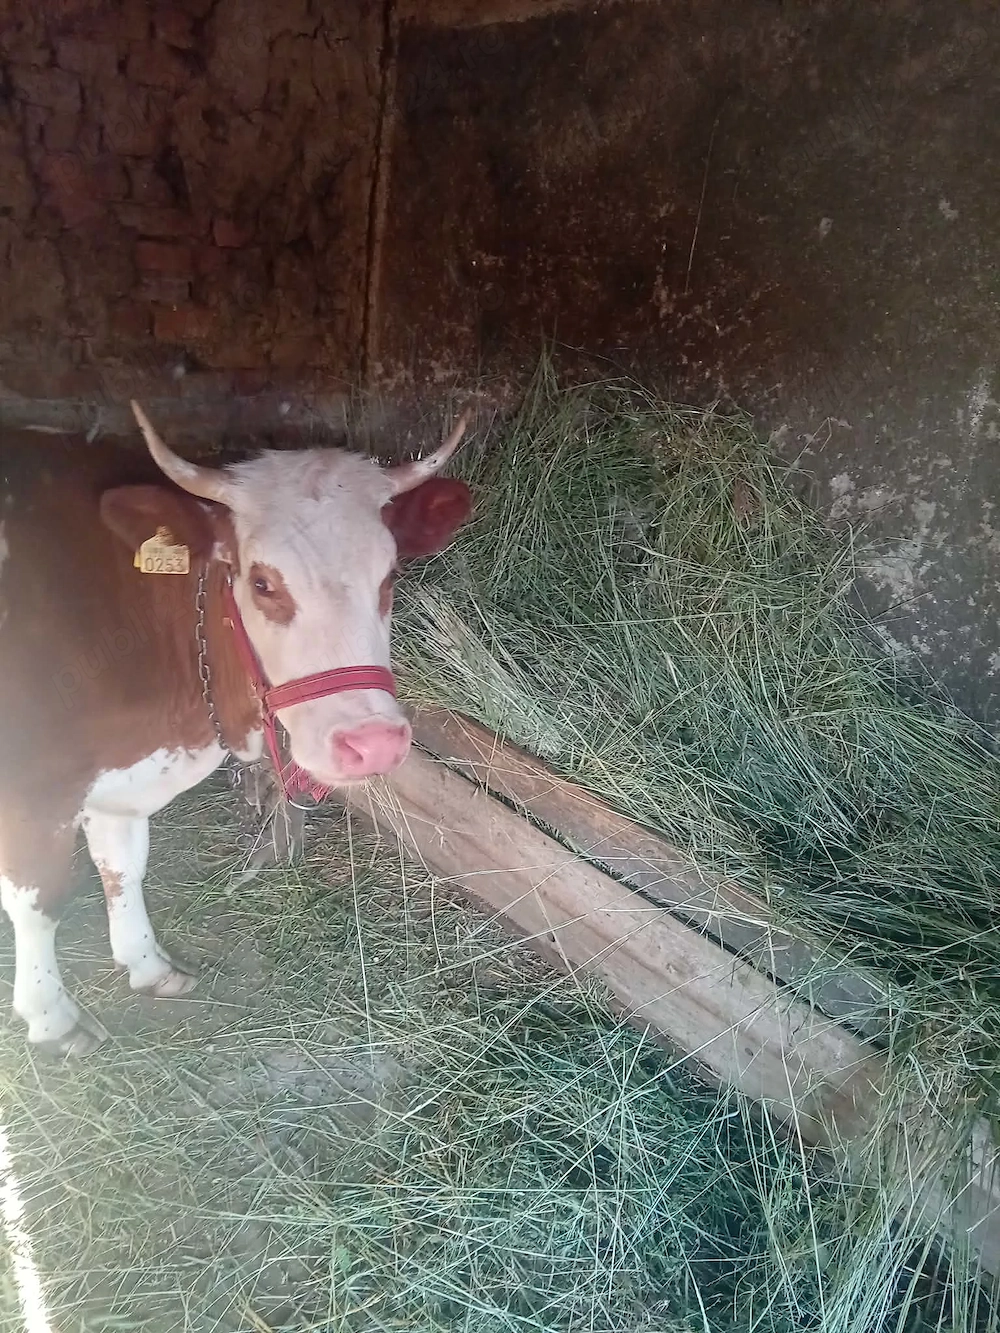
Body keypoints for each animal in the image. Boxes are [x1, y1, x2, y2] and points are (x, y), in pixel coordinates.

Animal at [0, 403, 473, 1058]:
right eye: (262, 583)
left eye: (390, 576)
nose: (373, 743)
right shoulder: (31, 787)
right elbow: (41, 900)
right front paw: (52, 1019)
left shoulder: (123, 773)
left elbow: (123, 865)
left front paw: (147, 965)